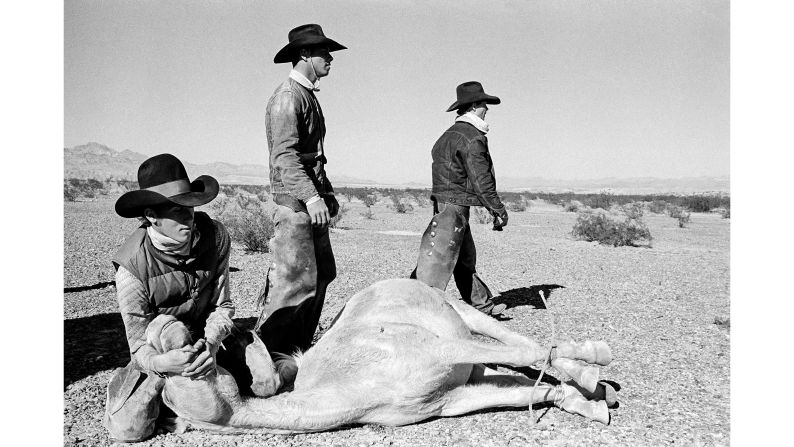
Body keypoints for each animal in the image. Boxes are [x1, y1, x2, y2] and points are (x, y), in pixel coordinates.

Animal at [148, 278, 620, 436]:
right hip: (471, 365)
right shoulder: (450, 399)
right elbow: (524, 394)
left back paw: (593, 368)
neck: (359, 388)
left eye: (193, 361)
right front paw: (590, 405)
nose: (170, 331)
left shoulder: (437, 350)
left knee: (515, 339)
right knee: (514, 369)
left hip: (465, 317)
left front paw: (595, 366)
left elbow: (529, 351)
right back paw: (594, 393)